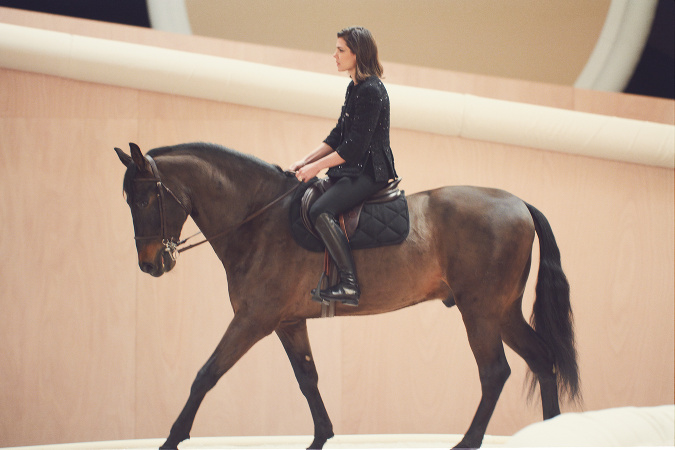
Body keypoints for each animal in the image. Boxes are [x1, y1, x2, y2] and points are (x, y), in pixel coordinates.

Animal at [113, 142, 580, 448]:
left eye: (145, 197)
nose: (151, 264)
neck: (259, 220)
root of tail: (518, 203)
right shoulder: (287, 322)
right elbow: (308, 379)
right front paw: (321, 438)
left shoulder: (252, 320)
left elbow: (205, 375)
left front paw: (171, 439)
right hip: (503, 312)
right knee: (542, 360)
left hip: (480, 312)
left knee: (495, 372)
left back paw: (467, 443)